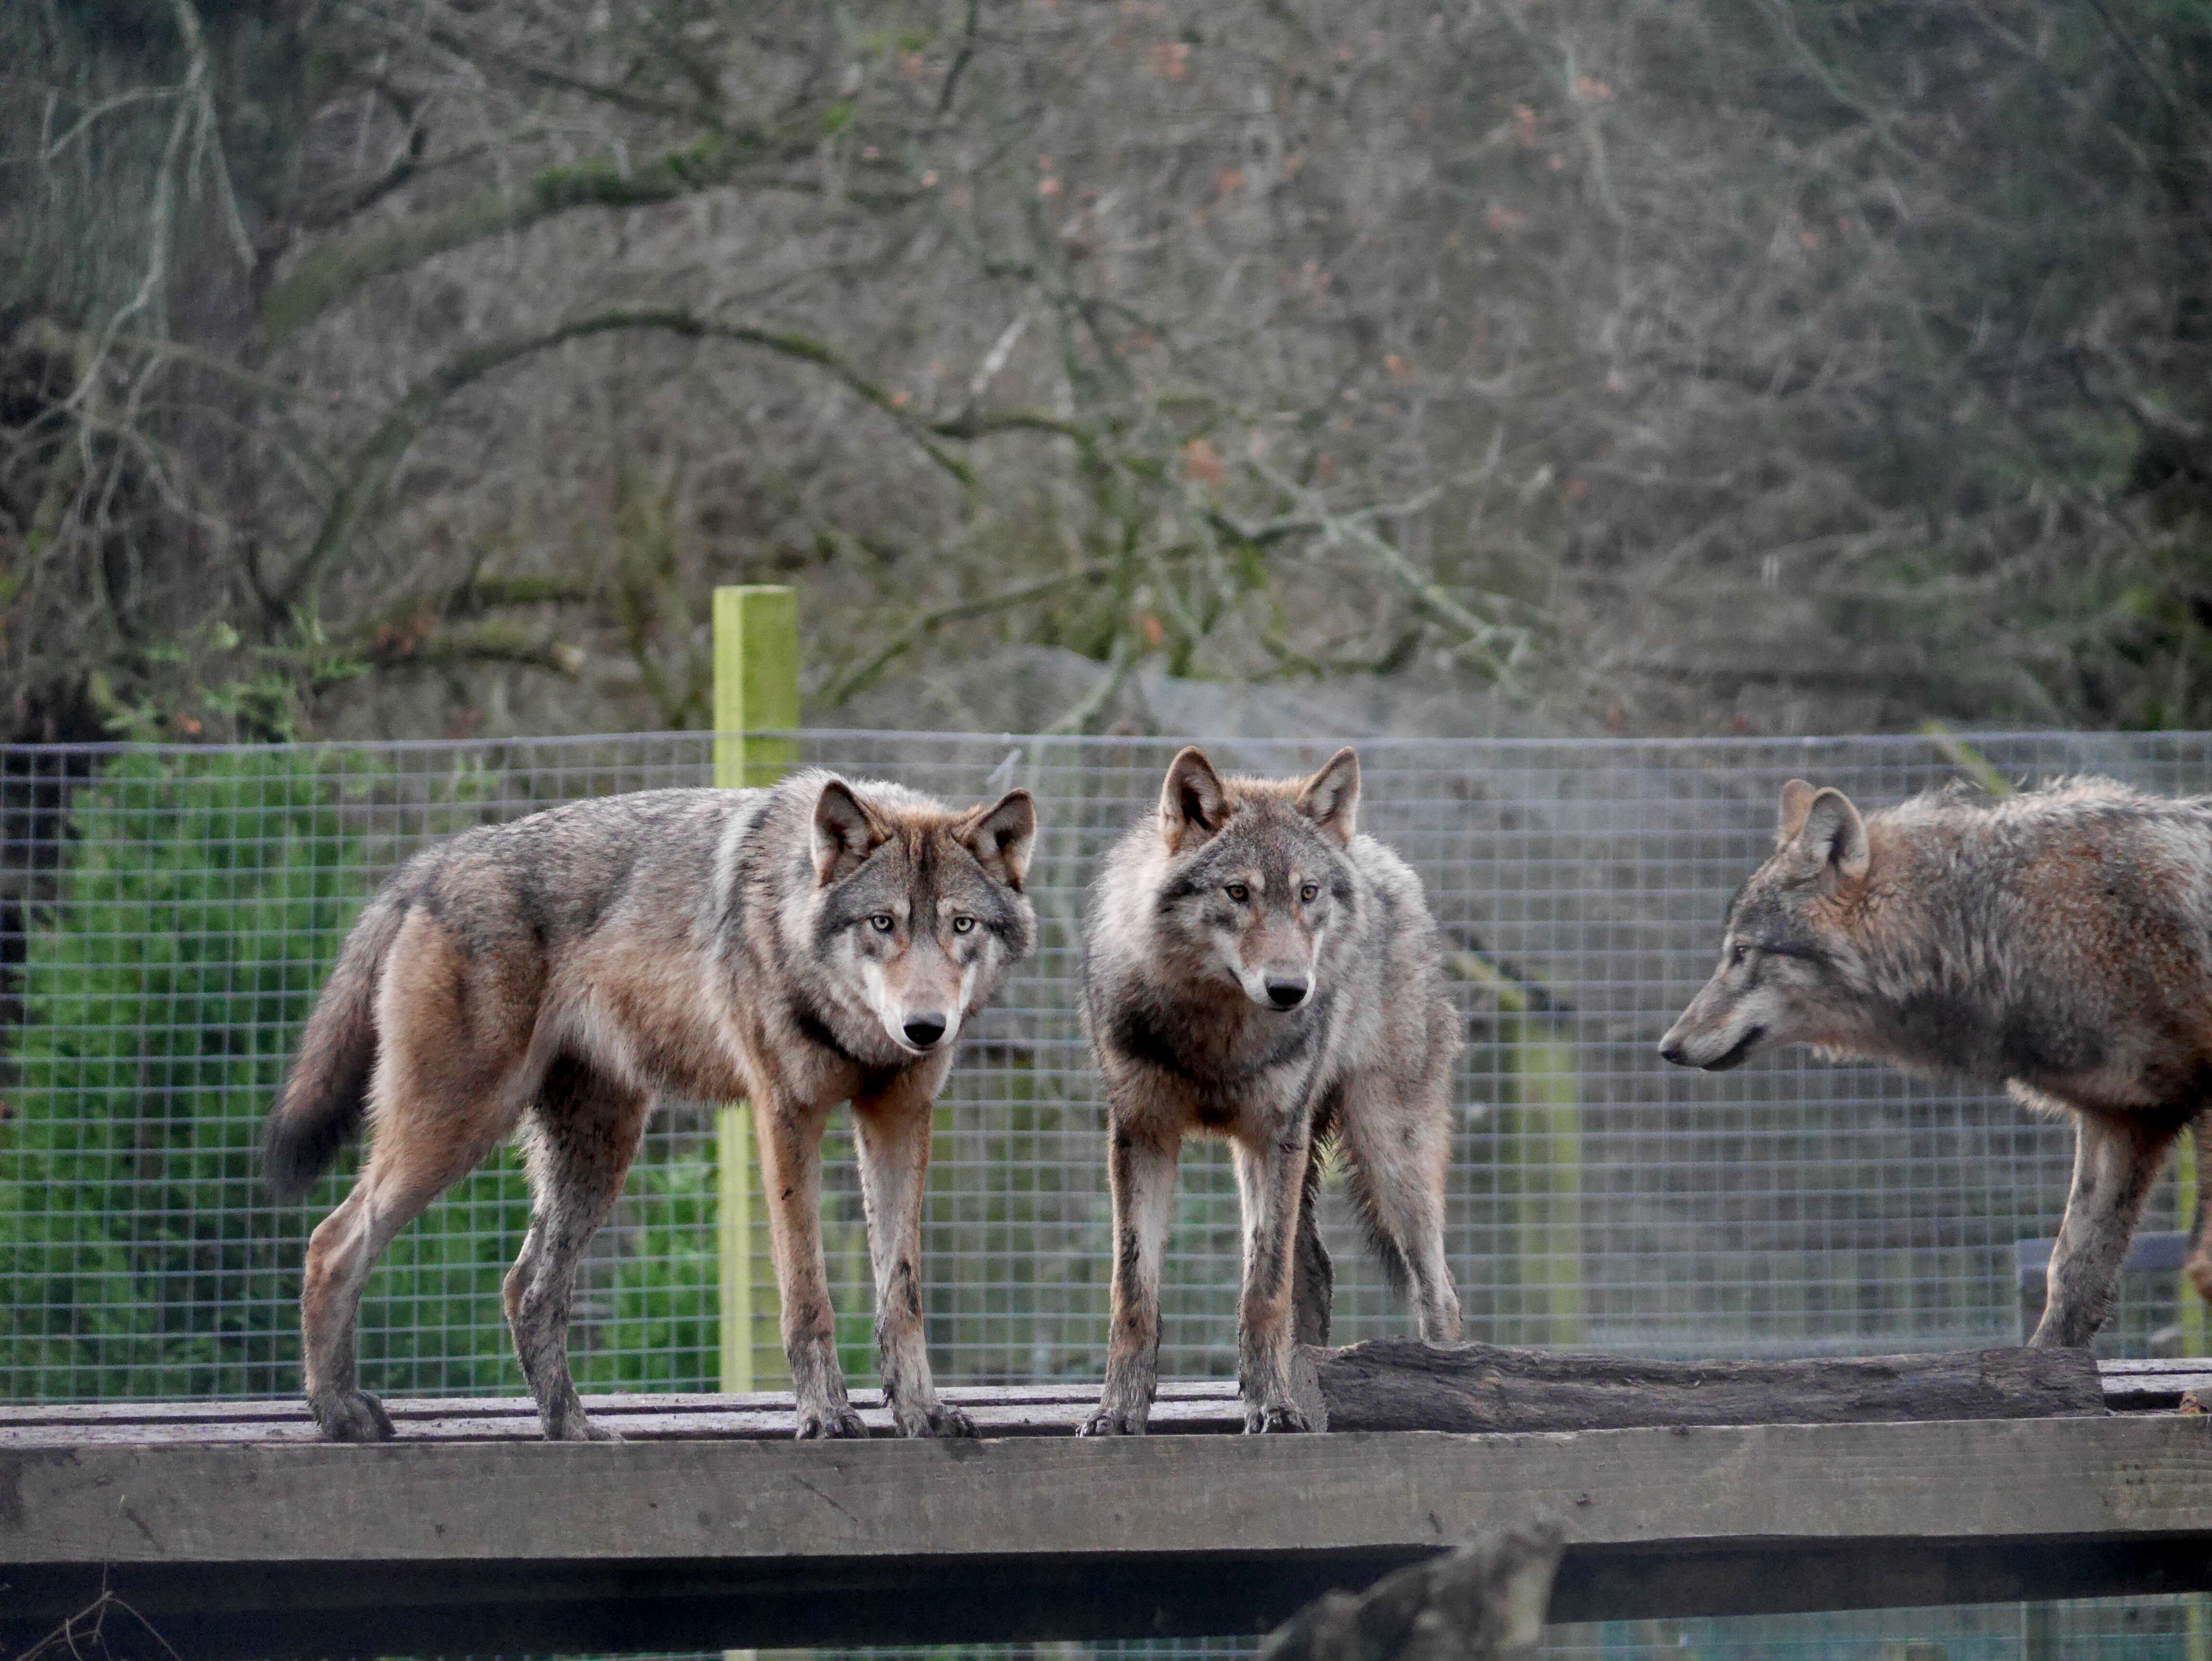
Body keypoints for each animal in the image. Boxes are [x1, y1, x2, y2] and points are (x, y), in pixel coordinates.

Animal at [259, 778, 1035, 1442]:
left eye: (961, 925)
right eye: (883, 922)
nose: (924, 1028)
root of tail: (430, 864)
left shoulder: (898, 1117)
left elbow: (901, 1296)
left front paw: (922, 1413)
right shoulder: (786, 1115)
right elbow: (806, 1294)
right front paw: (824, 1416)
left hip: (599, 1151)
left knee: (525, 1289)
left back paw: (572, 1428)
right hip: (459, 1126)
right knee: (332, 1242)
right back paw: (338, 1412)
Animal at [1079, 747, 1460, 1433]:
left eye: (1306, 893)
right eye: (1238, 892)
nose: (1290, 990)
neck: (1217, 1034)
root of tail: (1381, 857)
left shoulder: (1269, 1138)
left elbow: (1262, 1290)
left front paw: (1275, 1406)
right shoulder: (1141, 1135)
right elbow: (1133, 1294)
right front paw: (1118, 1410)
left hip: (1389, 1152)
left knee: (1436, 1287)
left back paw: (1450, 1377)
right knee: (1315, 1273)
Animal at [1663, 778, 2212, 1353]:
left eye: (1742, 952)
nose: (1668, 1047)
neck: (2000, 923)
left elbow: (2200, 1268)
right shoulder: (2124, 1117)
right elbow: (2070, 1275)